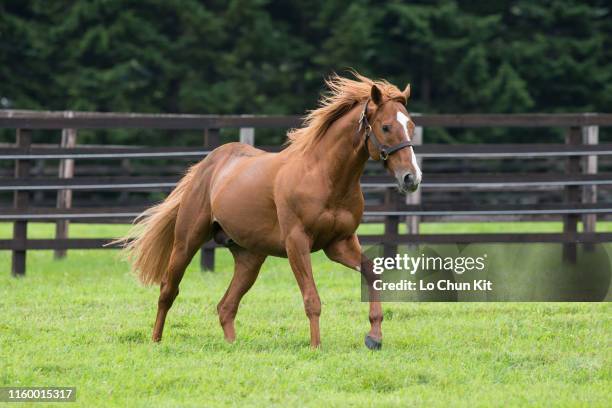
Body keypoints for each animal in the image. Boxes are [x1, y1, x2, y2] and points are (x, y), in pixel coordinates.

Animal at [119, 72, 420, 348]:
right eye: (386, 127)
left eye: (411, 125)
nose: (411, 178)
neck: (325, 176)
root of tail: (208, 165)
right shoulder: (297, 242)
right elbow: (312, 298)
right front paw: (315, 346)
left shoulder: (340, 244)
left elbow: (372, 273)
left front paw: (374, 336)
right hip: (186, 243)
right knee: (168, 291)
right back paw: (156, 341)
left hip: (250, 258)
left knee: (226, 306)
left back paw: (232, 346)